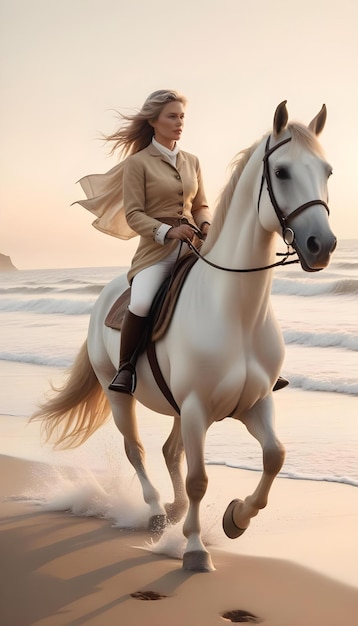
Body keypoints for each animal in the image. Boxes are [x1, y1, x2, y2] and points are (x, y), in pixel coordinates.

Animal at [30, 101, 336, 572]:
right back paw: (158, 512)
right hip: (121, 396)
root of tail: (107, 295)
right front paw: (194, 549)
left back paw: (172, 512)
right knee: (136, 450)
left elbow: (275, 456)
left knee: (169, 452)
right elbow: (198, 479)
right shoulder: (196, 408)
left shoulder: (254, 404)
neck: (236, 313)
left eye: (327, 171)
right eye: (282, 171)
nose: (323, 245)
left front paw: (236, 518)